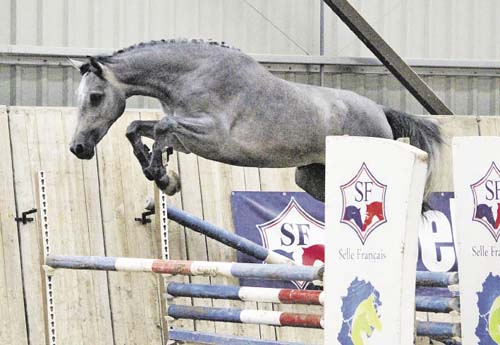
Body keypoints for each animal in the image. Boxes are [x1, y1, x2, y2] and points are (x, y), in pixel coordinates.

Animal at [69, 39, 442, 202]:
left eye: (95, 97)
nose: (78, 148)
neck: (190, 75)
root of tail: (380, 110)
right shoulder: (187, 139)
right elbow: (137, 128)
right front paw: (160, 174)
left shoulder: (212, 136)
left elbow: (161, 127)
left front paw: (162, 176)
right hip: (311, 177)